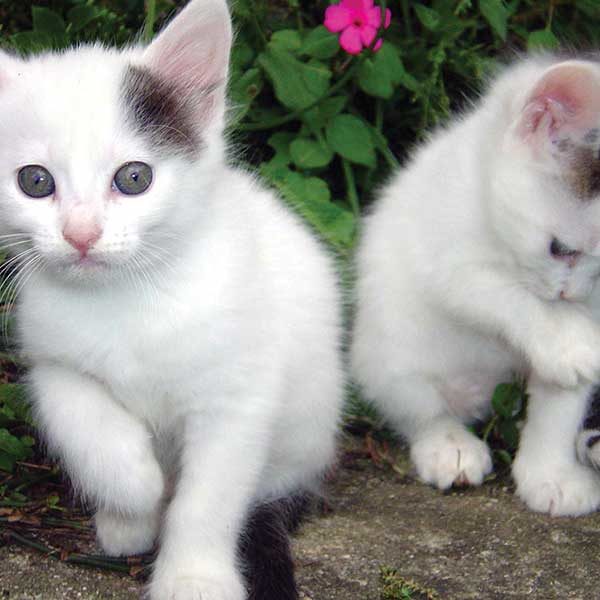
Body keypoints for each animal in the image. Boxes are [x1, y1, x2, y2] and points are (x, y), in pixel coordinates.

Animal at [0, 2, 344, 596]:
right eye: (35, 181)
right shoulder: (52, 362)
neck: (128, 296)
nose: (81, 234)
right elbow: (87, 422)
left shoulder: (237, 397)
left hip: (309, 424)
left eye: (134, 178)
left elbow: (208, 500)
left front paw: (194, 575)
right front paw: (135, 490)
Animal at [352, 55, 600, 516]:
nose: (569, 294)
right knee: (417, 405)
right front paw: (566, 337)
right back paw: (447, 445)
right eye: (561, 249)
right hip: (388, 349)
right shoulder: (449, 260)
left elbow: (559, 405)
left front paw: (550, 475)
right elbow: (506, 296)